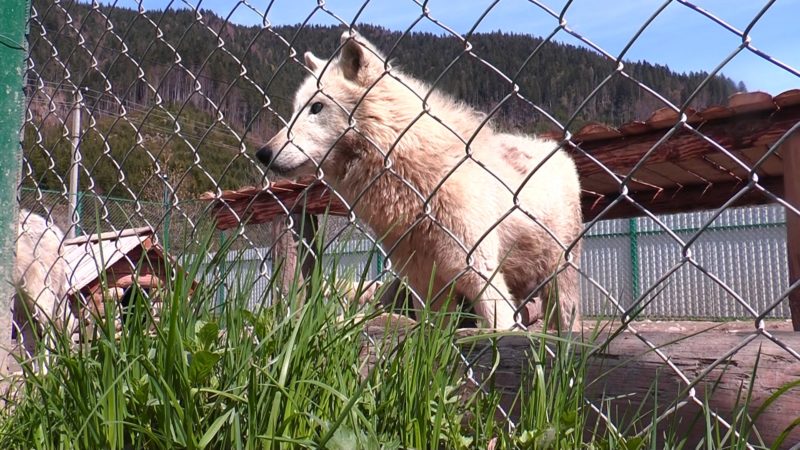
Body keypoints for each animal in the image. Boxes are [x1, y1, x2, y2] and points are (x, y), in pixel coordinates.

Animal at [260, 29, 584, 328]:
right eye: (294, 110)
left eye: (316, 107)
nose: (263, 152)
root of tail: (554, 149)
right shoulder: (423, 284)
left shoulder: (479, 272)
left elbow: (500, 331)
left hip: (559, 280)